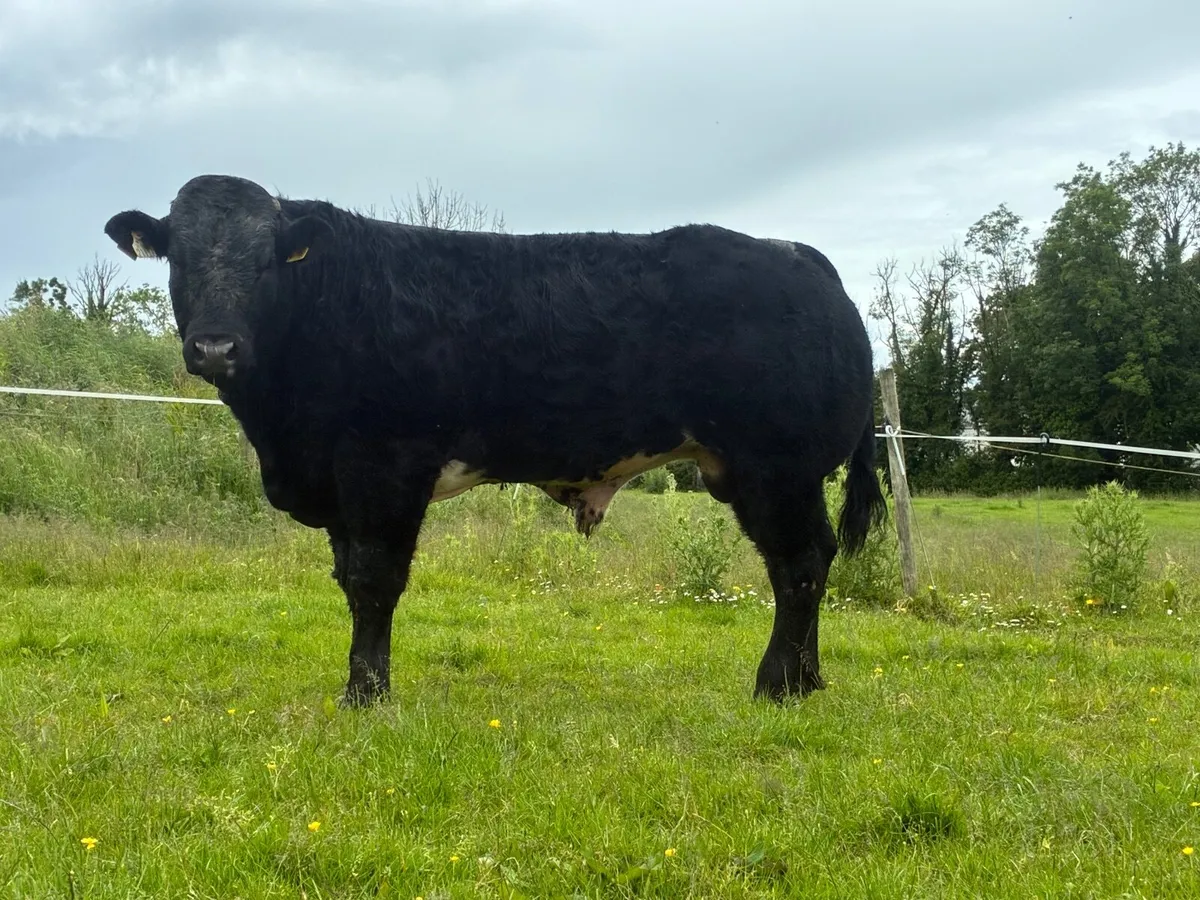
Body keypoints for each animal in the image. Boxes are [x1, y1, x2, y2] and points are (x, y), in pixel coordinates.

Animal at [104, 174, 887, 708]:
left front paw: (366, 695)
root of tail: (797, 253)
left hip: (775, 468)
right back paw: (809, 680)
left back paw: (777, 684)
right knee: (807, 562)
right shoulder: (338, 479)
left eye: (266, 259)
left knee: (799, 565)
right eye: (178, 258)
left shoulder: (386, 464)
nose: (215, 346)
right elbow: (348, 577)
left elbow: (375, 580)